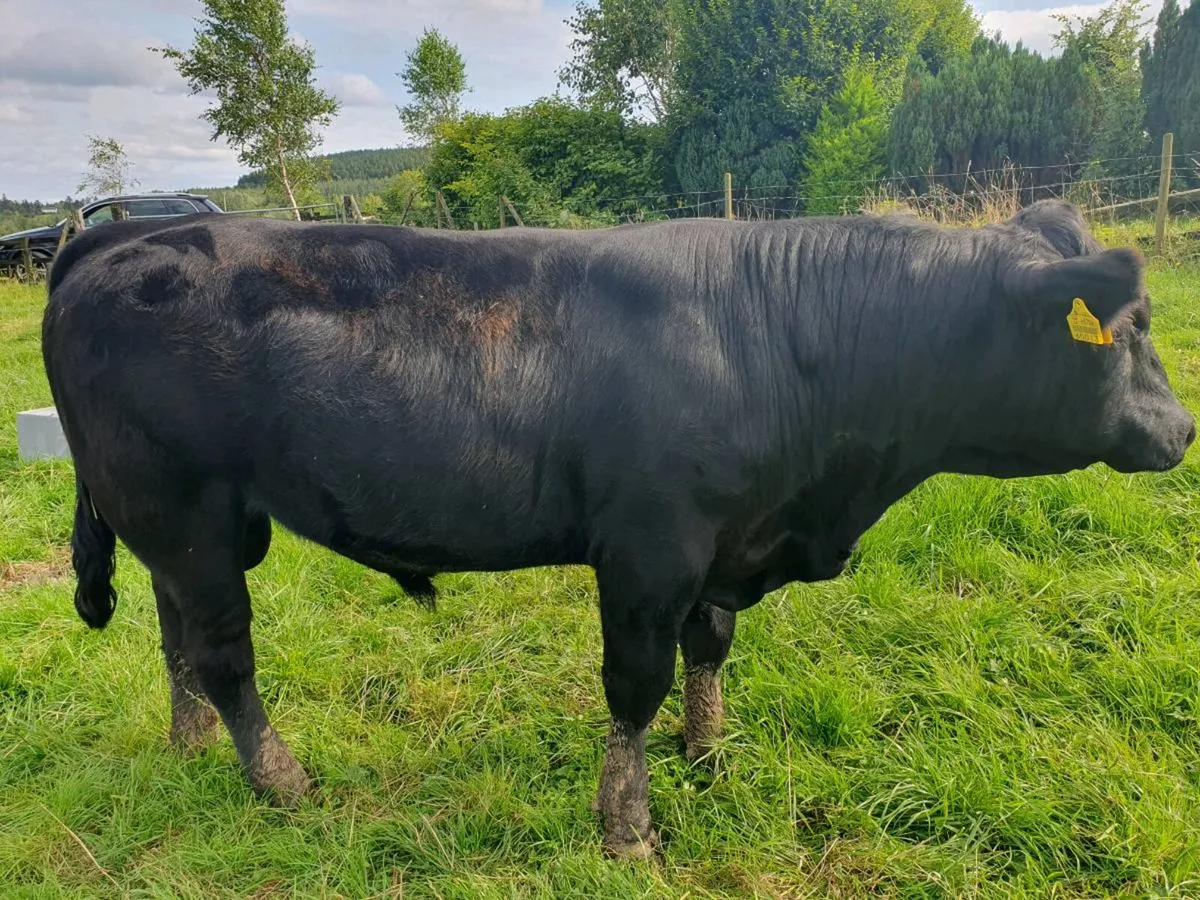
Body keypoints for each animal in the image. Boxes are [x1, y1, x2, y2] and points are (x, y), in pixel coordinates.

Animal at [41, 199, 1195, 859]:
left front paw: (710, 749)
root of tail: (120, 234)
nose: (1183, 428)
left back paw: (193, 746)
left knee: (176, 634)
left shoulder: (722, 544)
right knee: (225, 653)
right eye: (1129, 331)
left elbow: (710, 647)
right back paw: (279, 780)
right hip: (185, 508)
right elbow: (633, 687)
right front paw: (628, 827)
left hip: (186, 522)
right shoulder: (649, 549)